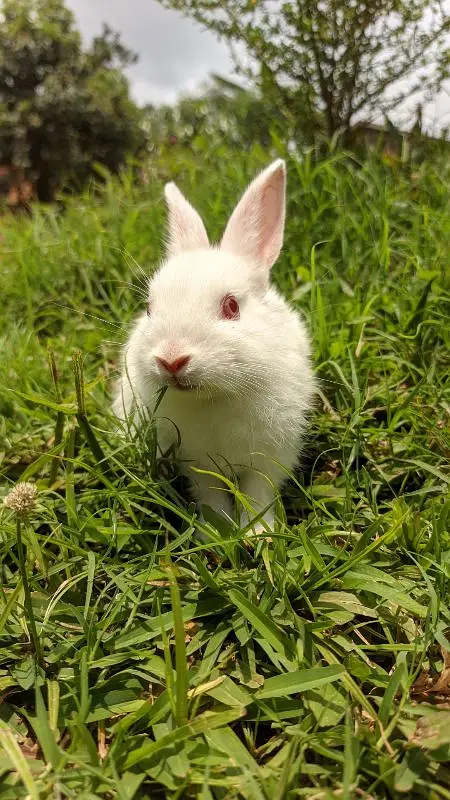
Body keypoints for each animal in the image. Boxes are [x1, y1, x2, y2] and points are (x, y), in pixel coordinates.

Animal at [113, 159, 315, 532]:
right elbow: (211, 496)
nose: (171, 359)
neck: (215, 395)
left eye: (231, 306)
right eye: (149, 307)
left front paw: (258, 534)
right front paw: (216, 530)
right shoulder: (197, 464)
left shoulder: (269, 458)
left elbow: (257, 495)